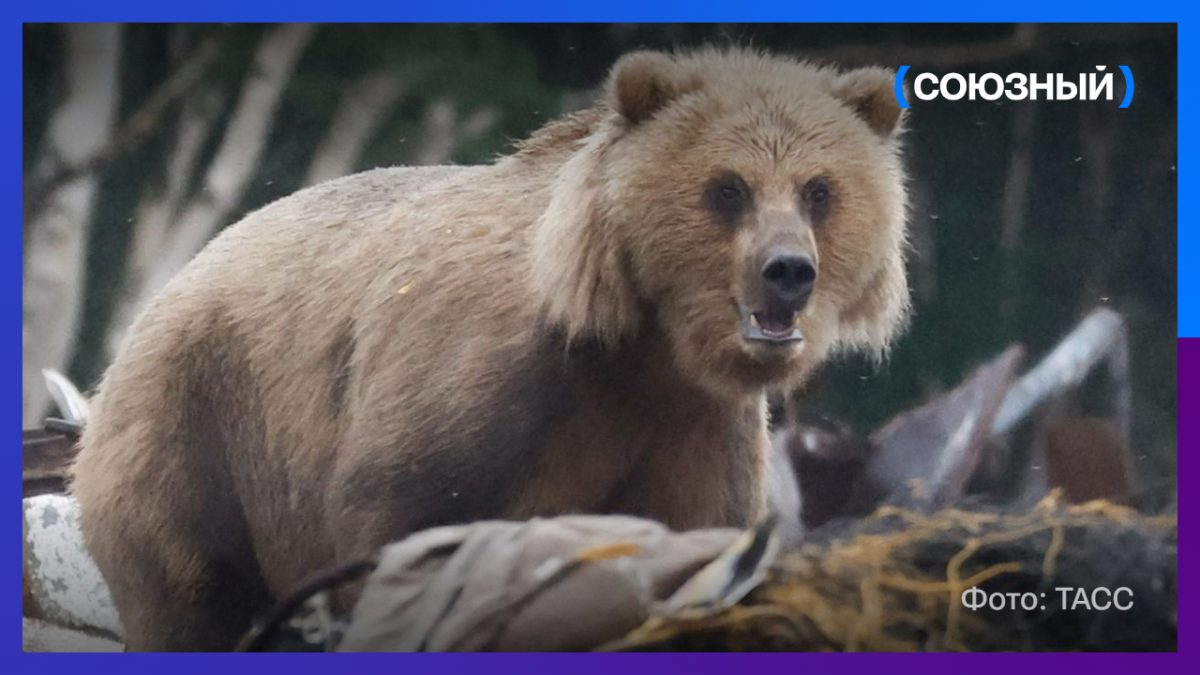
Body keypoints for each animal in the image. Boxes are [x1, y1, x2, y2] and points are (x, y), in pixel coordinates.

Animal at [70, 47, 911, 651]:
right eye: (728, 187)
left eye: (819, 190)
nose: (788, 271)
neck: (641, 342)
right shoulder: (480, 379)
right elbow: (401, 511)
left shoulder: (692, 424)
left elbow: (688, 533)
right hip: (197, 428)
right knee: (188, 594)